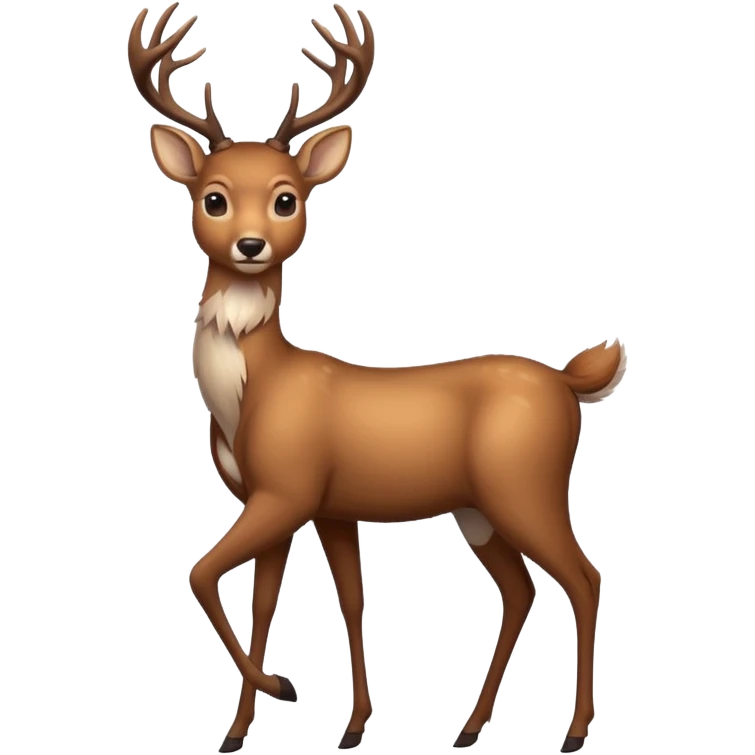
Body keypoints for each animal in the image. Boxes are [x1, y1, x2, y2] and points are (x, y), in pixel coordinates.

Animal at [128, 2, 626, 752]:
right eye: (212, 198)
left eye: (286, 199)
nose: (251, 244)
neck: (252, 394)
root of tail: (568, 383)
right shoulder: (314, 505)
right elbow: (305, 599)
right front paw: (284, 726)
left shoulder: (287, 488)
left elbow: (202, 571)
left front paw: (285, 690)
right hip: (477, 509)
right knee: (519, 589)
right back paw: (467, 727)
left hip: (526, 486)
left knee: (584, 576)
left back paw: (570, 731)